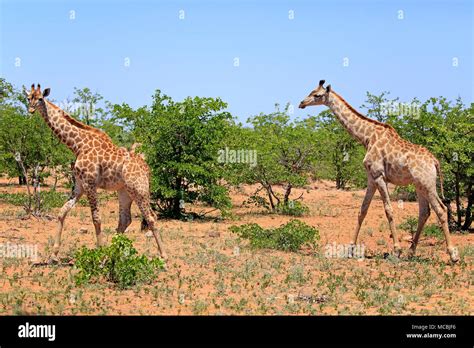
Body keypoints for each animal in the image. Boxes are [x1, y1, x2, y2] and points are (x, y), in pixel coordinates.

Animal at [25, 83, 168, 258]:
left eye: (40, 98)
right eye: (28, 98)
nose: (31, 110)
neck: (77, 145)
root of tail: (147, 168)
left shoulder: (90, 183)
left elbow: (96, 218)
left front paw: (99, 251)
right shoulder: (79, 185)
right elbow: (62, 212)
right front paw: (54, 254)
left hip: (139, 190)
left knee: (151, 217)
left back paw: (163, 256)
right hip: (124, 192)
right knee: (125, 220)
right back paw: (113, 253)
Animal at [300, 80, 460, 262]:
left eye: (317, 95)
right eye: (311, 92)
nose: (301, 103)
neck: (366, 136)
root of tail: (435, 161)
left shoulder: (379, 175)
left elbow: (388, 210)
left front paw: (396, 250)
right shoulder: (371, 177)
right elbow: (362, 210)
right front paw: (351, 249)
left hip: (427, 184)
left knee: (441, 210)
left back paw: (452, 255)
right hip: (420, 185)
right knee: (424, 212)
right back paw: (411, 252)